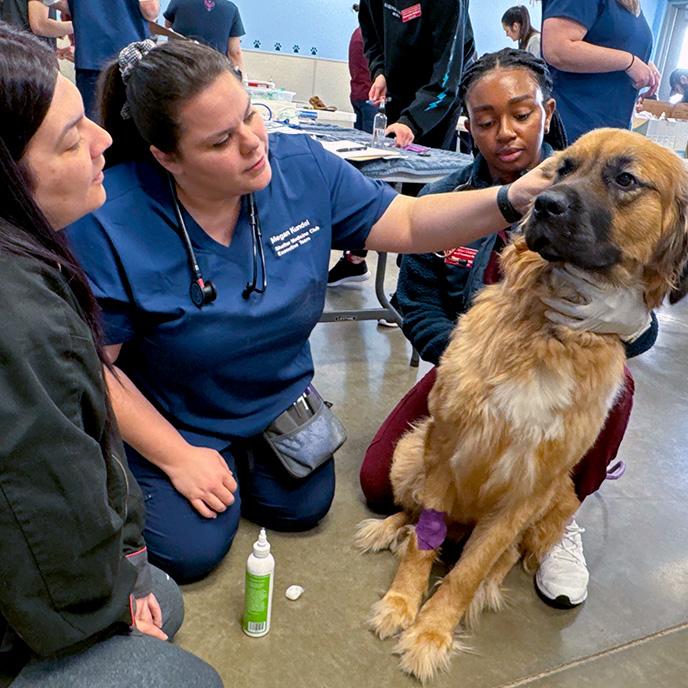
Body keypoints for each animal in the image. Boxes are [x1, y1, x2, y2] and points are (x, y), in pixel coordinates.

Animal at [354, 129, 688, 684]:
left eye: (625, 179)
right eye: (563, 168)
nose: (546, 204)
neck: (549, 334)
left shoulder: (527, 490)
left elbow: (468, 571)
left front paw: (432, 632)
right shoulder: (447, 446)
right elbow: (424, 542)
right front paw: (401, 604)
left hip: (558, 497)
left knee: (498, 556)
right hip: (408, 452)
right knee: (413, 513)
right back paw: (387, 528)